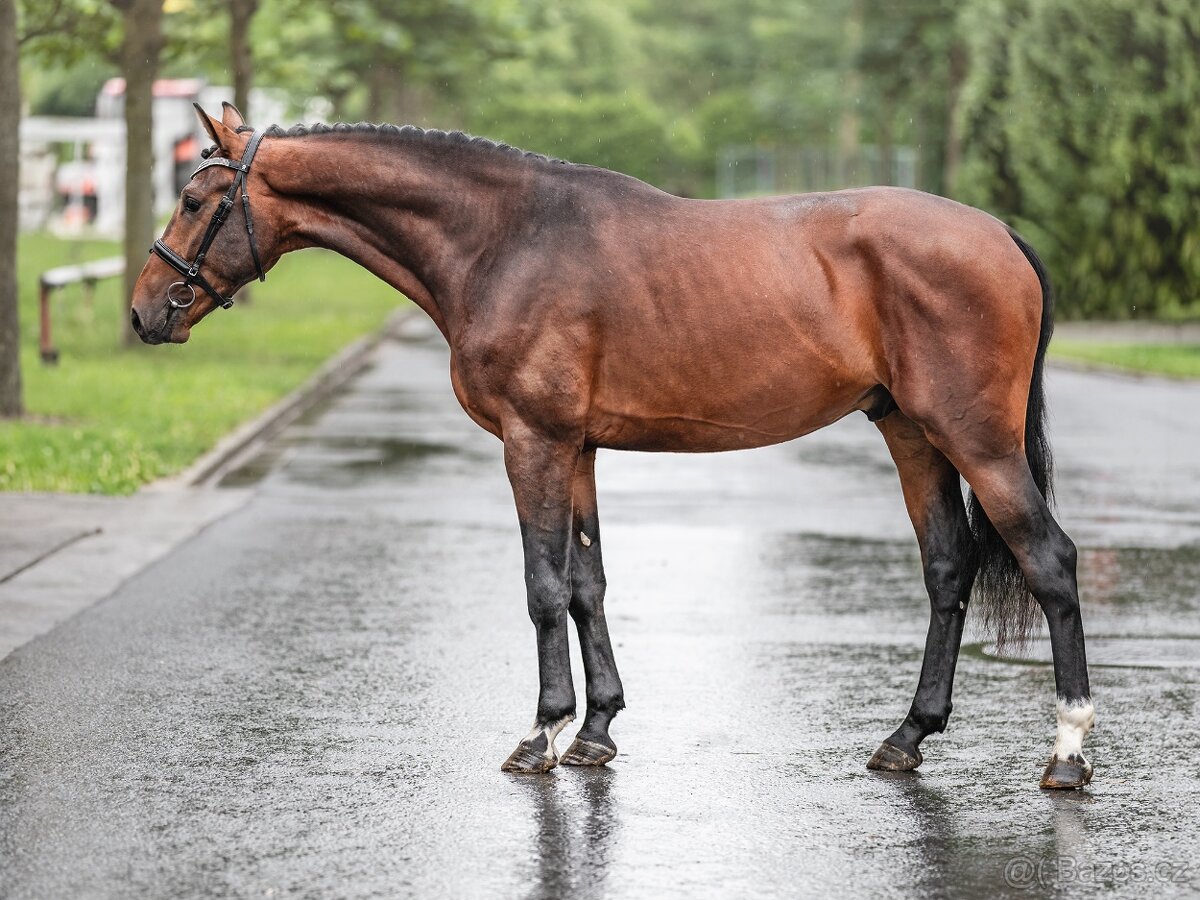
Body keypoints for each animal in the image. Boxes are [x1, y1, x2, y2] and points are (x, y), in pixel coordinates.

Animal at [131, 105, 1099, 792]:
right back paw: (907, 738)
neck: (504, 239)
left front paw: (541, 733)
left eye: (194, 200)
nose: (143, 313)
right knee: (948, 569)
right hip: (912, 434)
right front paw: (596, 731)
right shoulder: (580, 449)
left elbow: (542, 586)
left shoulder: (534, 443)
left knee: (1049, 560)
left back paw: (1069, 752)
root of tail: (999, 234)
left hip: (976, 440)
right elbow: (588, 583)